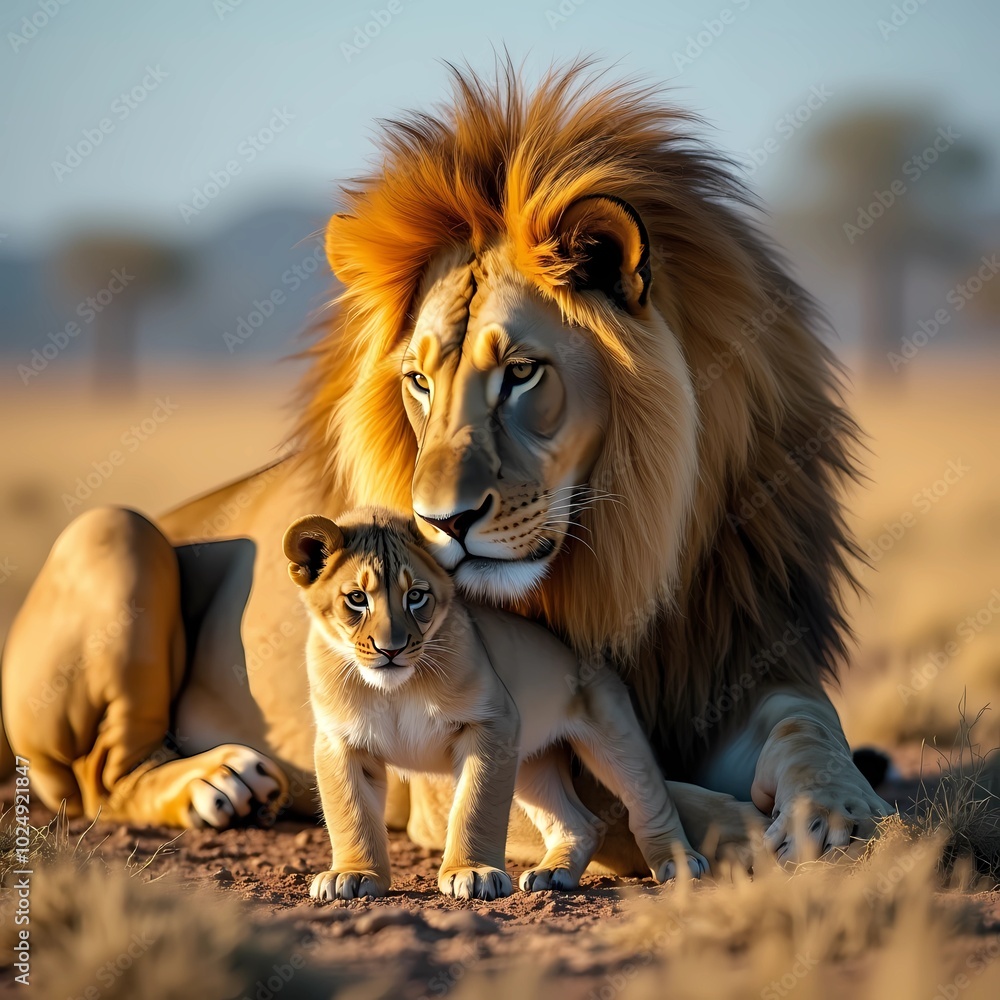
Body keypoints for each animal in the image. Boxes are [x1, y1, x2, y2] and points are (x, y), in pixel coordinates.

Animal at [286, 507, 707, 900]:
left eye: (416, 596)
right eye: (357, 599)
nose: (392, 650)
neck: (392, 690)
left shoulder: (492, 723)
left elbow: (475, 806)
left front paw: (472, 872)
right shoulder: (340, 741)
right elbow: (351, 813)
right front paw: (353, 874)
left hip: (614, 735)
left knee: (648, 798)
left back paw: (679, 862)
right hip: (532, 764)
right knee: (581, 824)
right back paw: (552, 874)